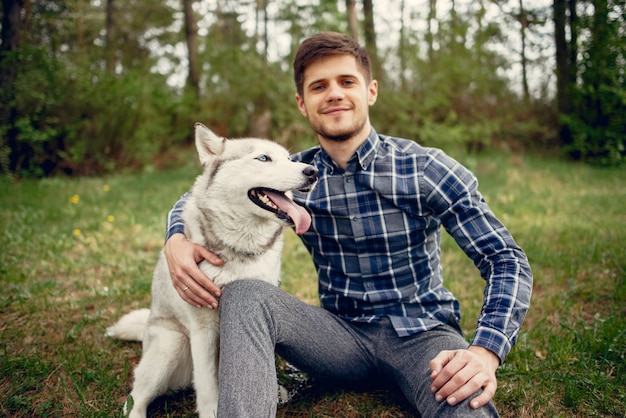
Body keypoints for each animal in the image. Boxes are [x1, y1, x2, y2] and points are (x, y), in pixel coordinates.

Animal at [105, 124, 316, 418]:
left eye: (289, 158)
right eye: (264, 158)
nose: (313, 171)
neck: (240, 250)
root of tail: (147, 327)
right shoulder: (202, 327)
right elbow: (206, 383)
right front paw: (212, 410)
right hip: (172, 345)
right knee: (133, 400)